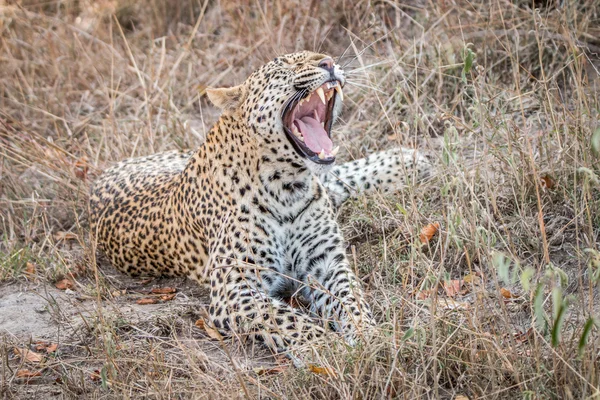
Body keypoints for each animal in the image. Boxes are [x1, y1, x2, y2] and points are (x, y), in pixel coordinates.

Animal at [89, 50, 428, 366]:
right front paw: (327, 348)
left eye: (321, 57)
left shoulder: (326, 262)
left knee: (336, 180)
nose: (330, 63)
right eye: (286, 66)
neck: (289, 187)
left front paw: (370, 335)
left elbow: (351, 300)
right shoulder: (235, 288)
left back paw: (406, 161)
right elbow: (287, 319)